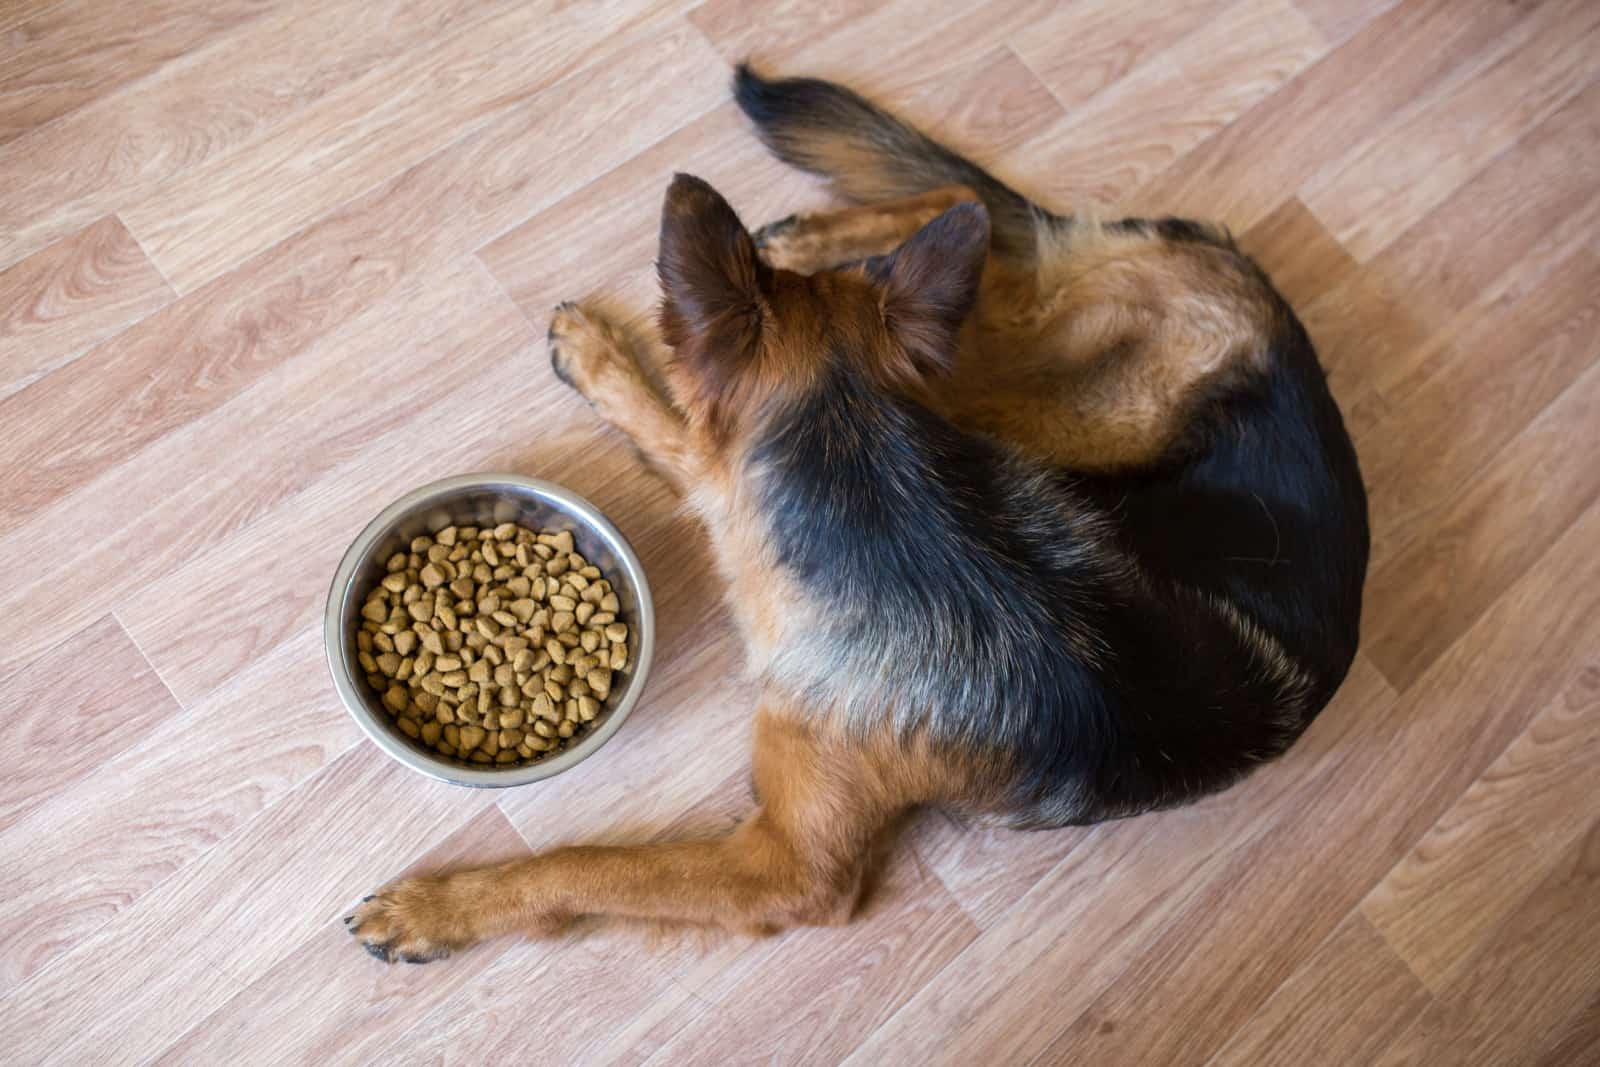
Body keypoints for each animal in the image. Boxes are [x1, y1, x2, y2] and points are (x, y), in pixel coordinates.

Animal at [347, 68, 1363, 966]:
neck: (880, 502)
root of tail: (1250, 287)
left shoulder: (788, 867)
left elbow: (588, 864)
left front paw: (441, 907)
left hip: (1024, 406)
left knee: (983, 219)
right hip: (983, 385)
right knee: (970, 203)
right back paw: (815, 240)